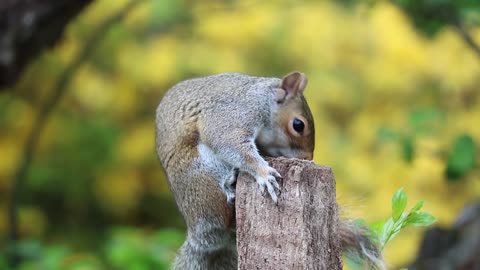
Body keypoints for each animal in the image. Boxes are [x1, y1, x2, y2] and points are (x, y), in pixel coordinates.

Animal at [156, 70, 384, 268]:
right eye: (298, 125)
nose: (308, 159)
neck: (262, 98)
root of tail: (199, 233)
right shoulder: (233, 113)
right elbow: (228, 142)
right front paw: (264, 173)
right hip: (202, 173)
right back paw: (230, 183)